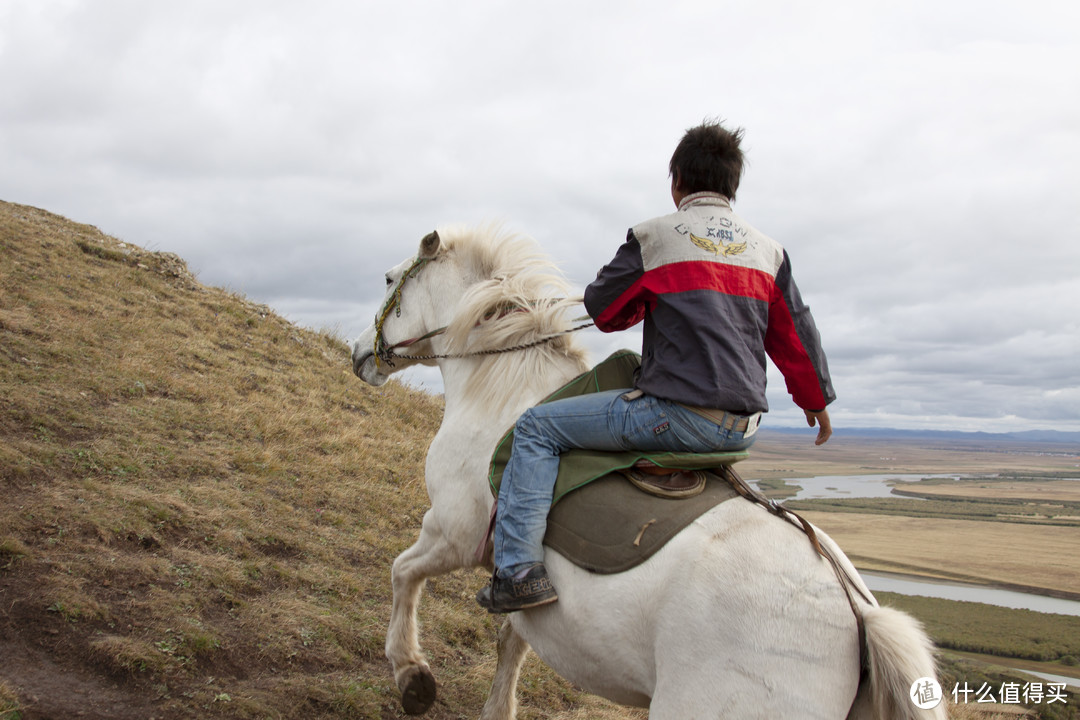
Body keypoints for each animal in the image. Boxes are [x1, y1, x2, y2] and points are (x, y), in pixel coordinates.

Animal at [349, 226, 941, 720]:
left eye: (388, 279)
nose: (360, 355)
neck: (501, 389)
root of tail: (860, 619)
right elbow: (511, 642)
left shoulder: (453, 532)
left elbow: (403, 573)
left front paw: (411, 675)